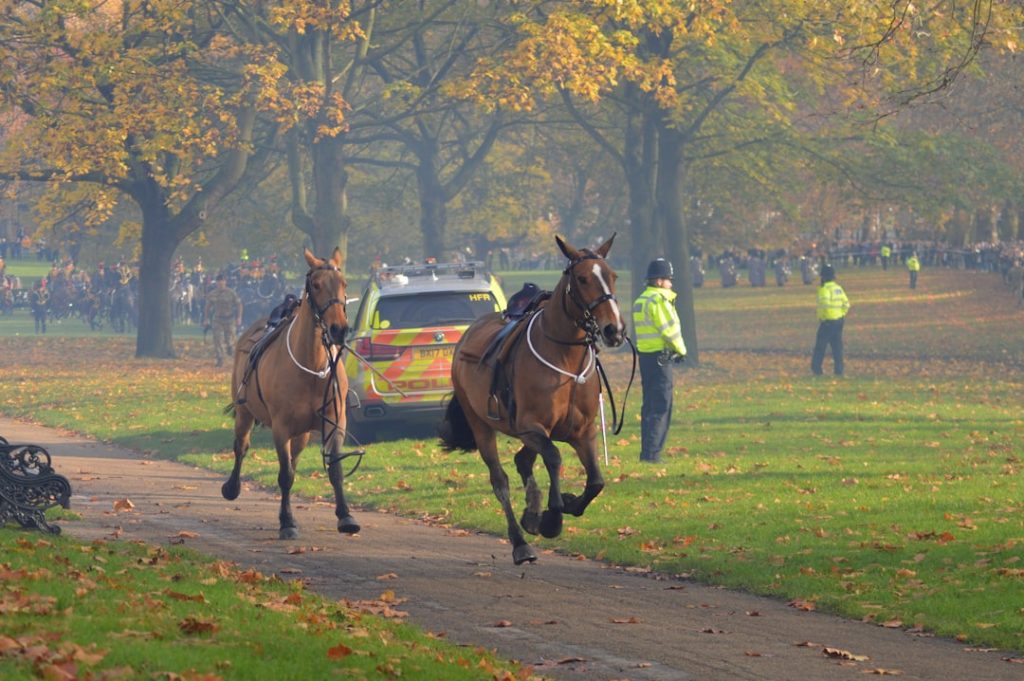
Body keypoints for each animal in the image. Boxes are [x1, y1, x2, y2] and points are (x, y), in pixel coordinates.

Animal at [223, 247, 359, 539]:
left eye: (344, 284)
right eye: (316, 285)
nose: (339, 329)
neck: (312, 369)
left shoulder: (335, 421)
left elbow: (335, 468)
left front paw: (345, 515)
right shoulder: (281, 426)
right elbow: (285, 475)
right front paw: (287, 522)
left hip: (302, 433)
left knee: (294, 460)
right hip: (244, 412)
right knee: (241, 447)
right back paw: (232, 486)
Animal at [439, 234, 625, 564]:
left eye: (612, 275)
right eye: (582, 278)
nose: (613, 329)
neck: (565, 359)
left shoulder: (583, 431)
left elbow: (596, 481)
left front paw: (564, 504)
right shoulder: (531, 426)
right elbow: (554, 457)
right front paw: (552, 516)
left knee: (522, 459)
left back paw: (531, 514)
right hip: (481, 424)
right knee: (500, 480)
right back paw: (520, 541)